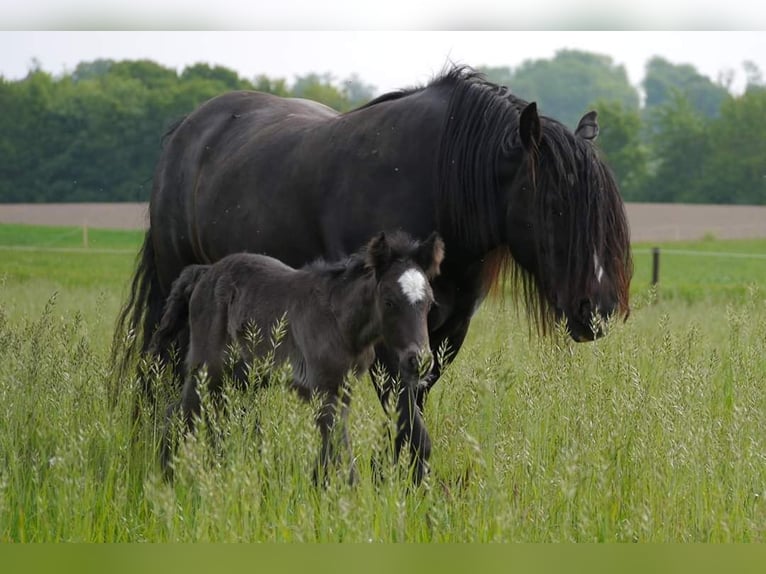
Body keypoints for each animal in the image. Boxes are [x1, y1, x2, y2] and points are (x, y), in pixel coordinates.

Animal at [152, 232, 444, 484]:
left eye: (429, 303)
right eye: (389, 302)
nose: (418, 361)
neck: (339, 321)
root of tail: (204, 273)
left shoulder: (342, 392)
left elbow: (328, 453)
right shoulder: (324, 391)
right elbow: (340, 452)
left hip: (242, 378)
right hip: (206, 371)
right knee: (176, 416)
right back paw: (167, 480)